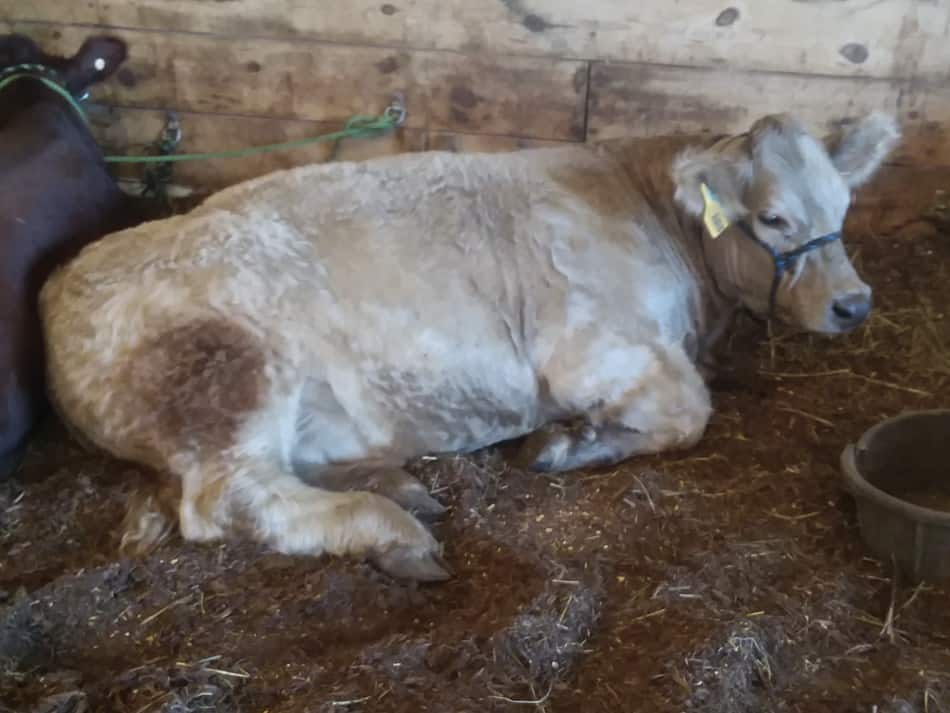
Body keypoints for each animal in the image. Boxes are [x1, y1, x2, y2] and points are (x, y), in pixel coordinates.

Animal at [37, 110, 900, 580]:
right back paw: (391, 529)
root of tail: (62, 283)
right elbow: (690, 409)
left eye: (843, 203)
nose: (854, 304)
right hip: (231, 373)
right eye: (775, 218)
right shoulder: (590, 345)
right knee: (228, 499)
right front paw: (571, 443)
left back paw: (396, 483)